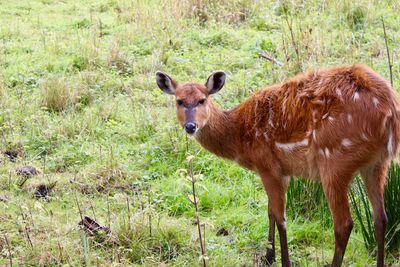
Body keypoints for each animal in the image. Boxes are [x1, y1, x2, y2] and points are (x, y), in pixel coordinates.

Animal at [155, 65, 398, 267]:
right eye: (179, 100)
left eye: (202, 100)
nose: (190, 126)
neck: (240, 135)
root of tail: (390, 113)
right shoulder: (283, 171)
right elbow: (270, 210)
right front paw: (268, 256)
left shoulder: (267, 165)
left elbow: (281, 218)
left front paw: (283, 261)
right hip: (378, 164)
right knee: (381, 218)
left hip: (333, 161)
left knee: (344, 224)